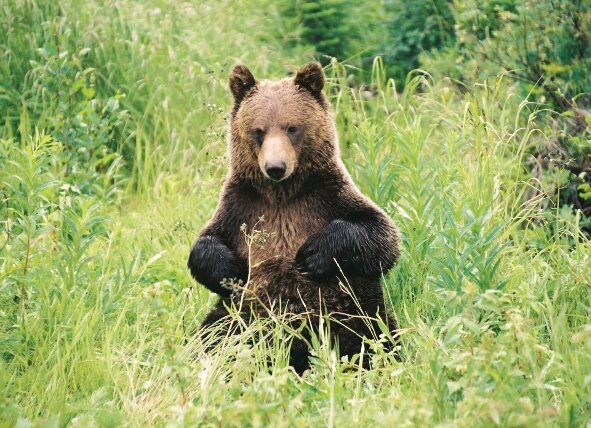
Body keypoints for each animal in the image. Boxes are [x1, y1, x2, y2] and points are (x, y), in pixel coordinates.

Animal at [188, 61, 402, 372]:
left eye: (292, 128)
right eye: (259, 131)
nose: (275, 167)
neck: (282, 194)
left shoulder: (326, 196)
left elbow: (381, 236)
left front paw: (313, 253)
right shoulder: (241, 206)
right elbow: (205, 245)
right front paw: (231, 268)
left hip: (355, 310)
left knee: (377, 334)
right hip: (239, 316)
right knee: (214, 336)